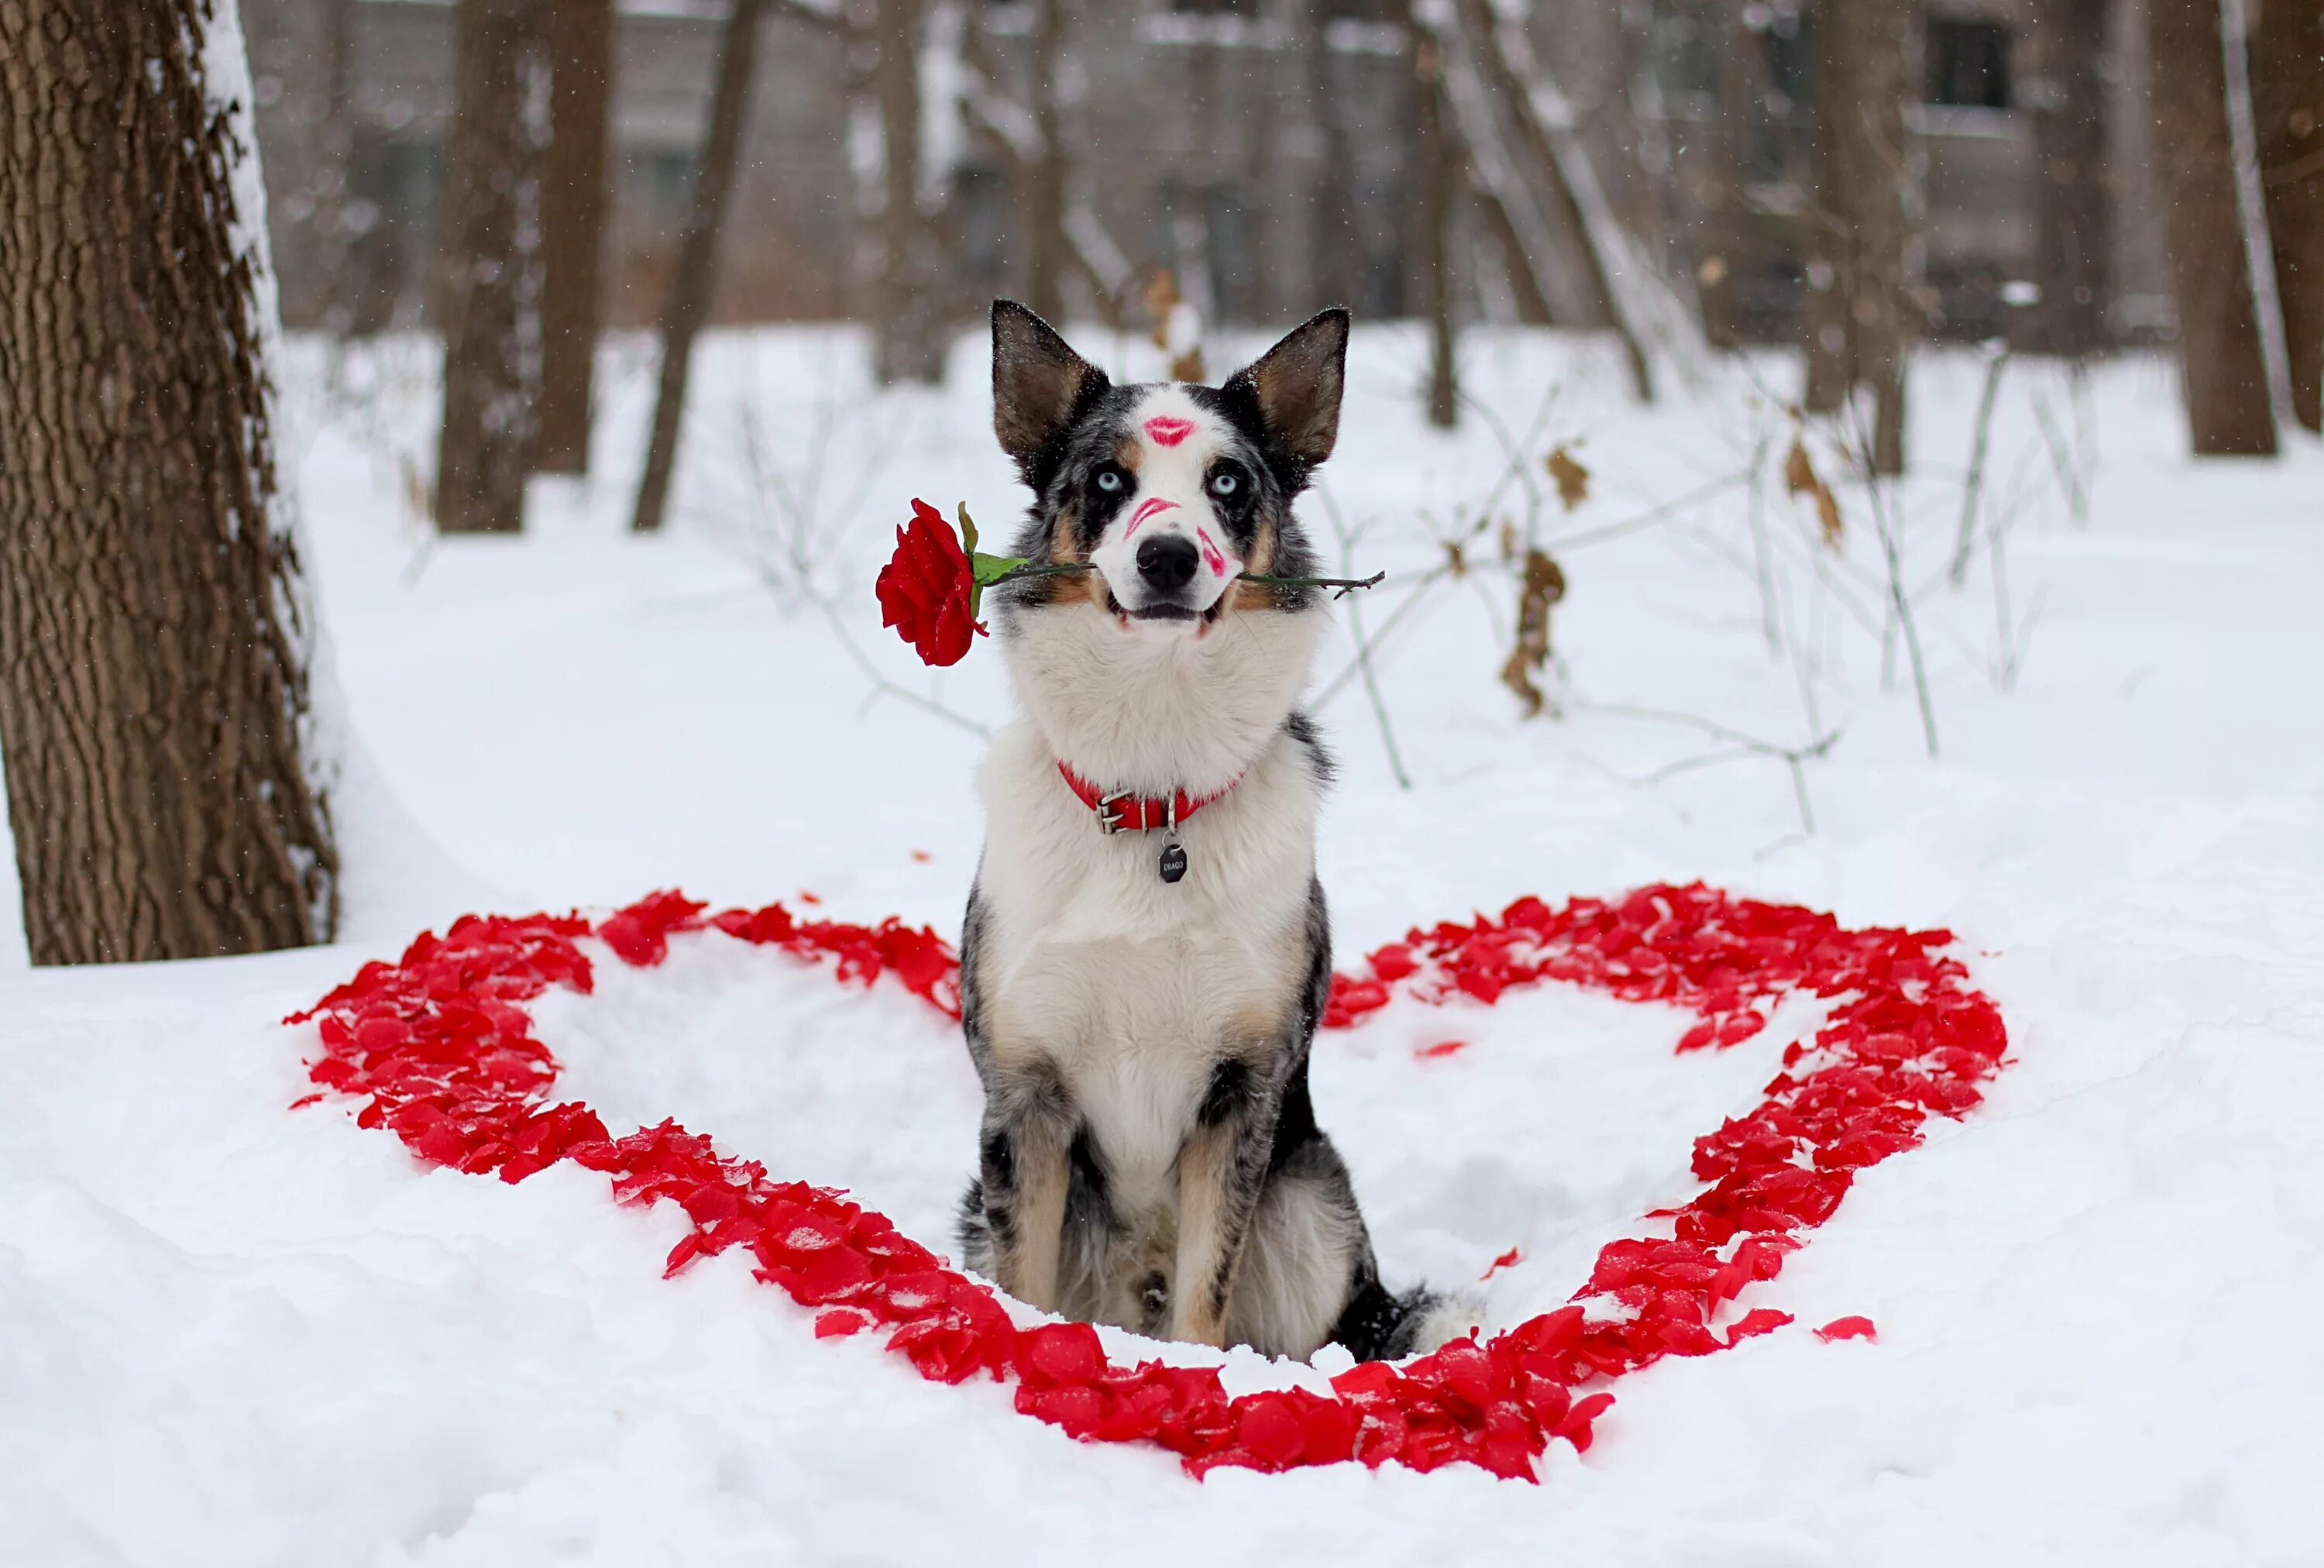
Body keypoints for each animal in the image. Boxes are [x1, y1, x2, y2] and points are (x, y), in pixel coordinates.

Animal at [948, 304, 1450, 1366]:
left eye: (1229, 483)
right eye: (1108, 480)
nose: (1170, 557)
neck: (1155, 795)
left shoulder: (1242, 1092)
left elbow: (1205, 1292)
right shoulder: (1025, 1095)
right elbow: (1025, 1284)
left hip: (1314, 1205)